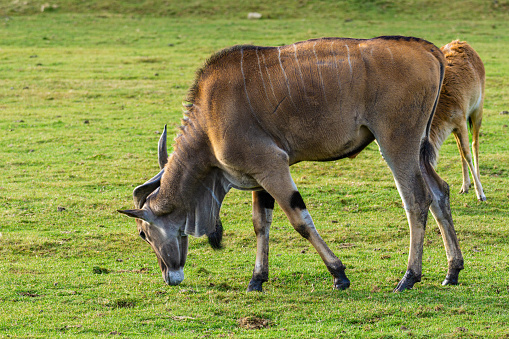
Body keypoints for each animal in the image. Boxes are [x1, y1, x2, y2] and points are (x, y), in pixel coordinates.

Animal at [120, 35, 464, 294]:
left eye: (144, 234)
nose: (169, 277)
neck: (208, 118)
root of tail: (428, 50)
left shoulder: (273, 166)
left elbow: (300, 220)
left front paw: (339, 274)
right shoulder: (259, 177)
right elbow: (261, 224)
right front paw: (257, 279)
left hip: (396, 143)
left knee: (417, 199)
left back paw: (408, 277)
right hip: (418, 149)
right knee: (440, 192)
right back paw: (452, 271)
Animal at [430, 41, 486, 203]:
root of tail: (462, 41)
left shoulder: (461, 120)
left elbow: (467, 153)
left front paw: (480, 194)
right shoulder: (454, 126)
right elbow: (461, 151)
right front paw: (465, 186)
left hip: (478, 109)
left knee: (475, 143)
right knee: (461, 149)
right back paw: (465, 186)